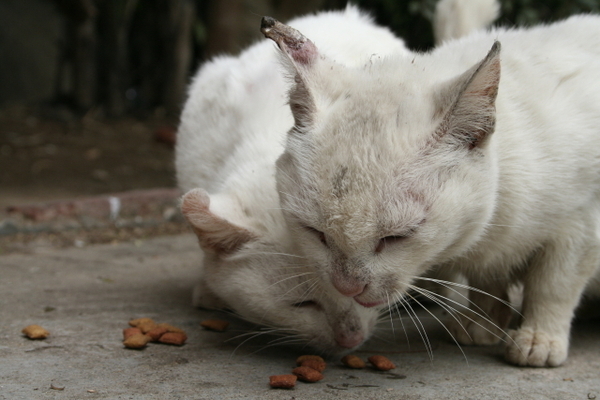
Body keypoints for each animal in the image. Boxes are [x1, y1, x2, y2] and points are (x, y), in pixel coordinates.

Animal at [270, 14, 600, 366]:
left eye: (397, 237)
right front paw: (482, 322)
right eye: (314, 232)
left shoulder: (579, 228)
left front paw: (538, 338)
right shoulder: (488, 249)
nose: (348, 287)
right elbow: (489, 281)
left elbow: (553, 286)